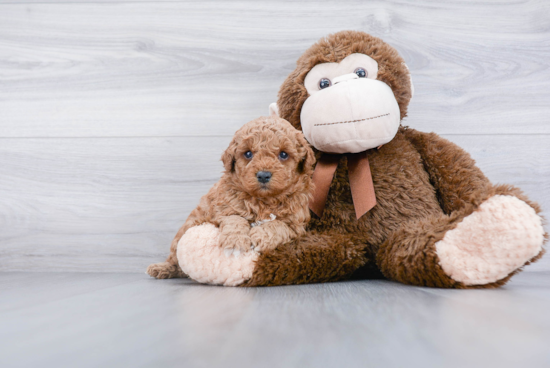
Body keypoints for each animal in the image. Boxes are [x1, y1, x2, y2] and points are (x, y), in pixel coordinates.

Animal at [148, 115, 314, 278]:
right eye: (248, 154)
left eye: (284, 154)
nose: (263, 175)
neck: (263, 200)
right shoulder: (222, 210)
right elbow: (235, 219)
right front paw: (235, 241)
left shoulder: (296, 226)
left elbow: (278, 225)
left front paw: (260, 236)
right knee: (175, 261)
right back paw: (162, 268)